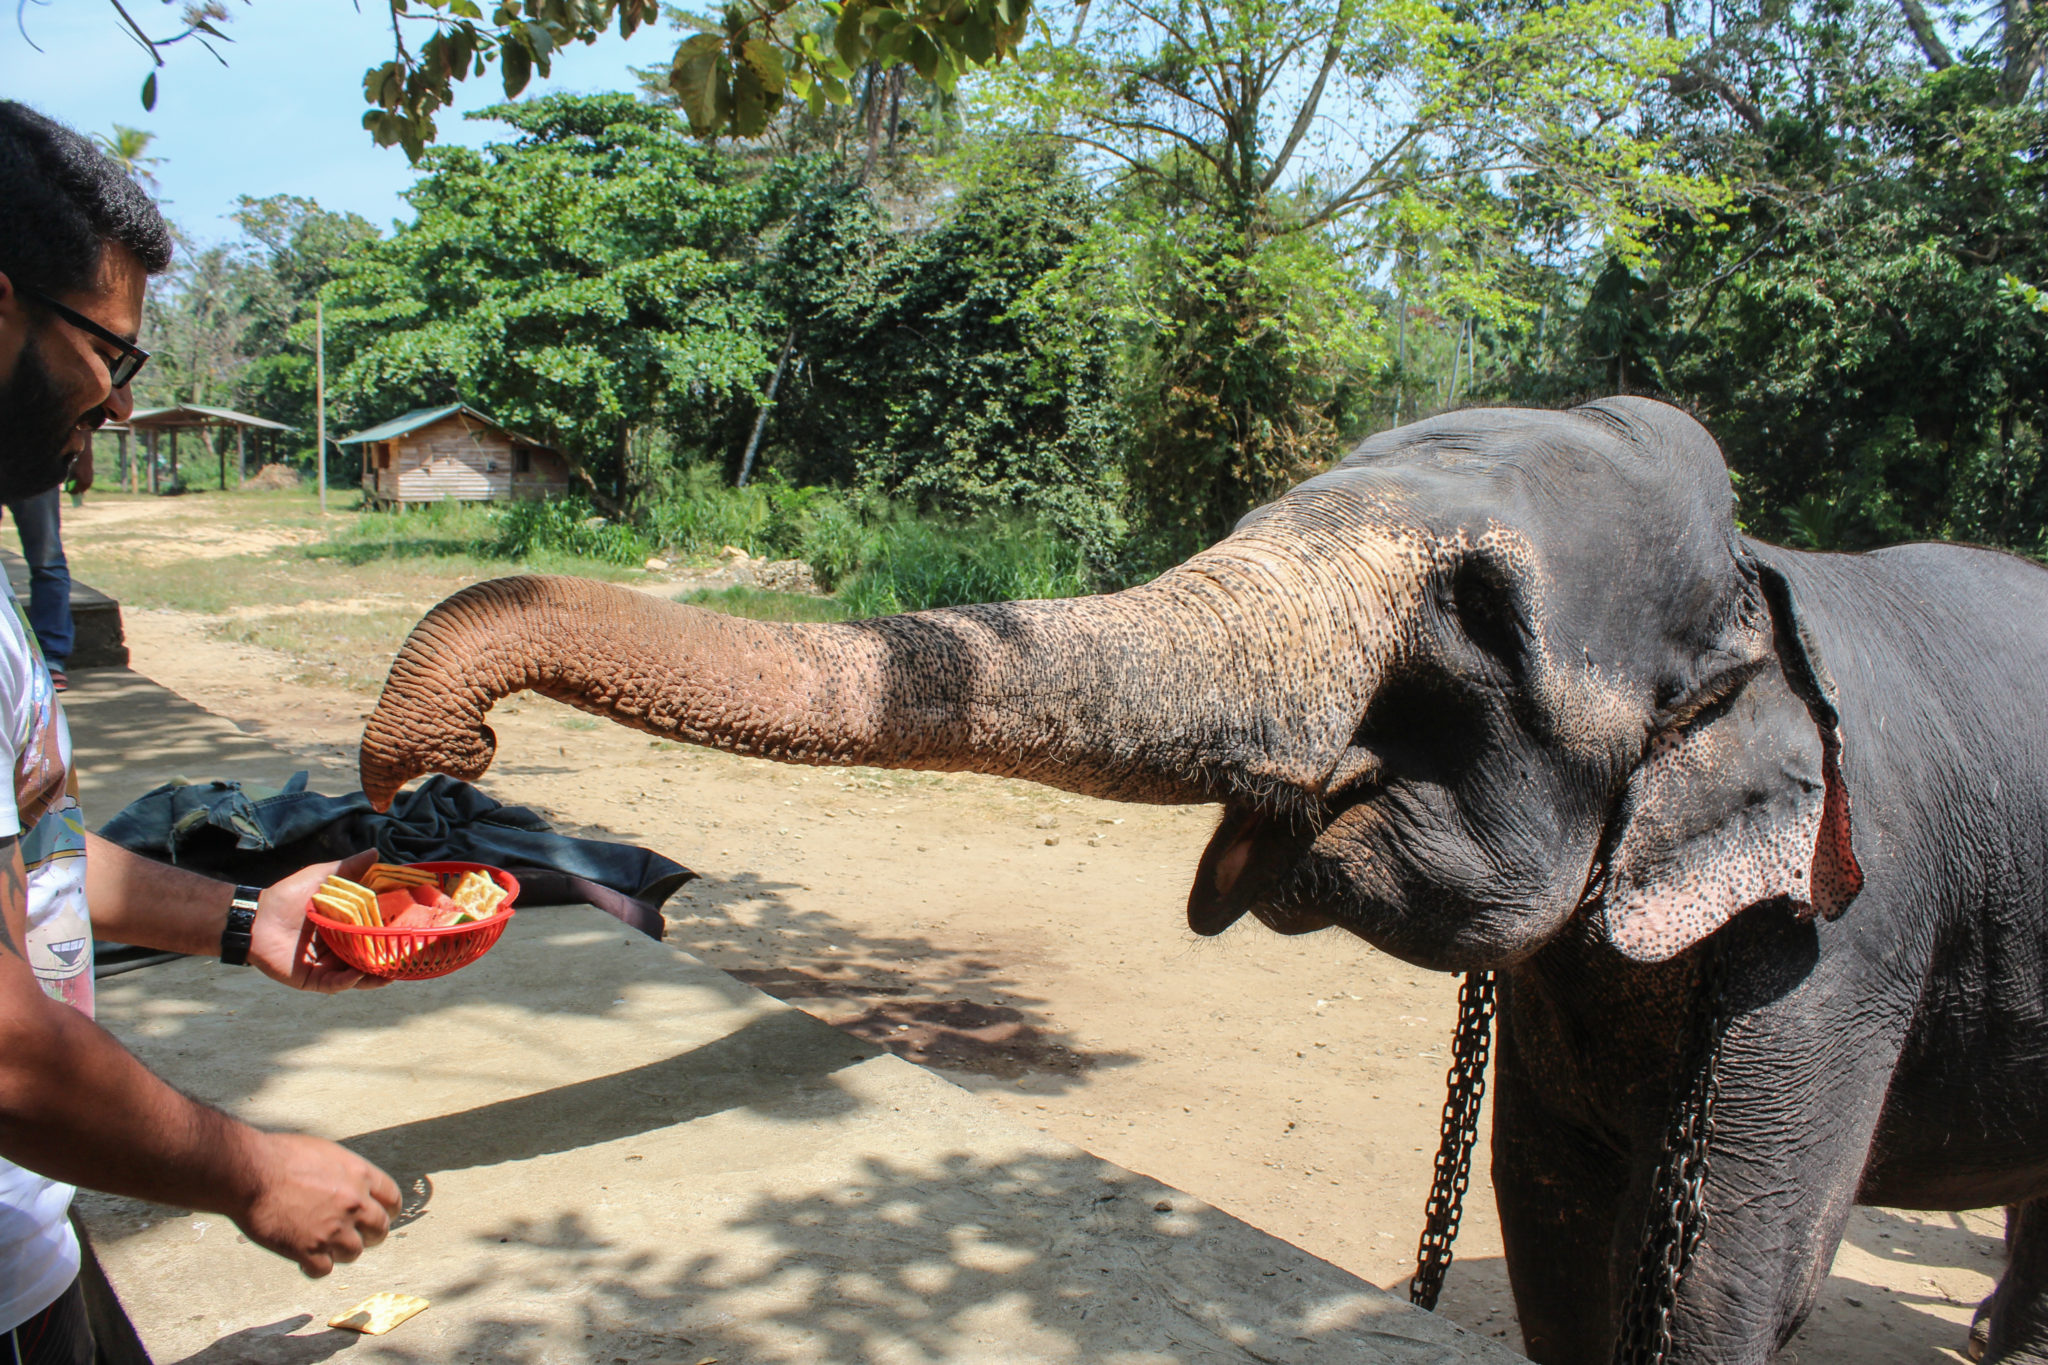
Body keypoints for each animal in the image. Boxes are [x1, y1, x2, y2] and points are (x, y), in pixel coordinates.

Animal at [360, 397, 2048, 1365]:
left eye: (1480, 625)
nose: (429, 766)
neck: (1766, 581)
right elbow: (1558, 1220)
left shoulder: (1847, 940)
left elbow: (1731, 1279)